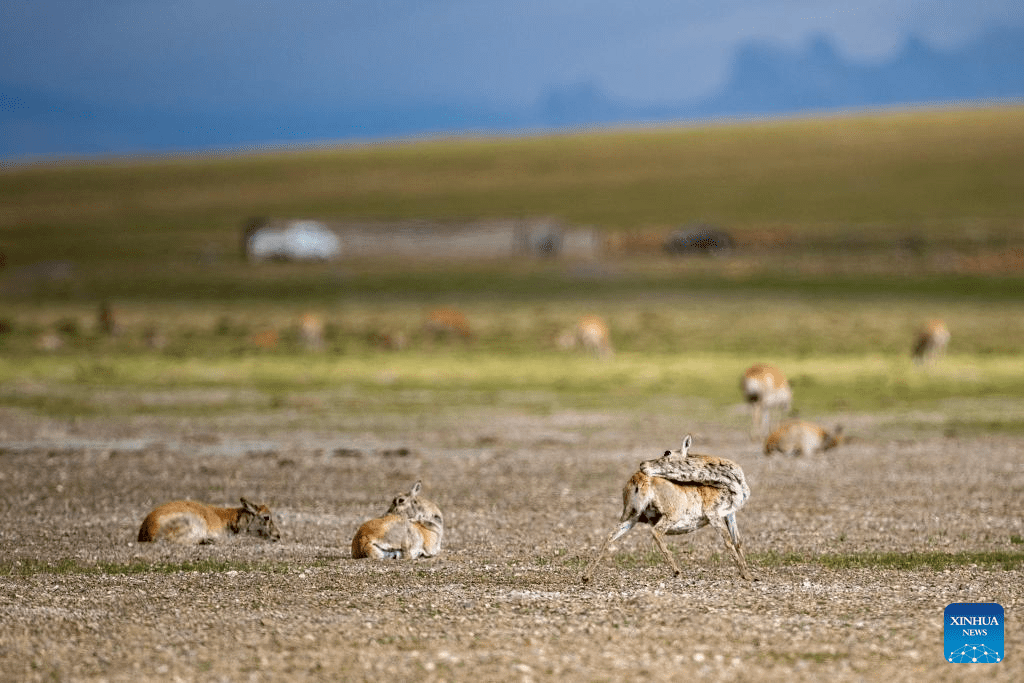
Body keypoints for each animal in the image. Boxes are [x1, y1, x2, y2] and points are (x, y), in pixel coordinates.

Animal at [585, 438, 753, 581]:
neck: (729, 484)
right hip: (670, 515)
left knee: (609, 536)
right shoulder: (713, 514)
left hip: (631, 517)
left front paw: (749, 573)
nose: (643, 464)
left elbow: (737, 541)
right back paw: (678, 571)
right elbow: (727, 540)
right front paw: (747, 575)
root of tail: (637, 480)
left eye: (667, 452)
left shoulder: (729, 513)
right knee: (656, 532)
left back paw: (585, 576)